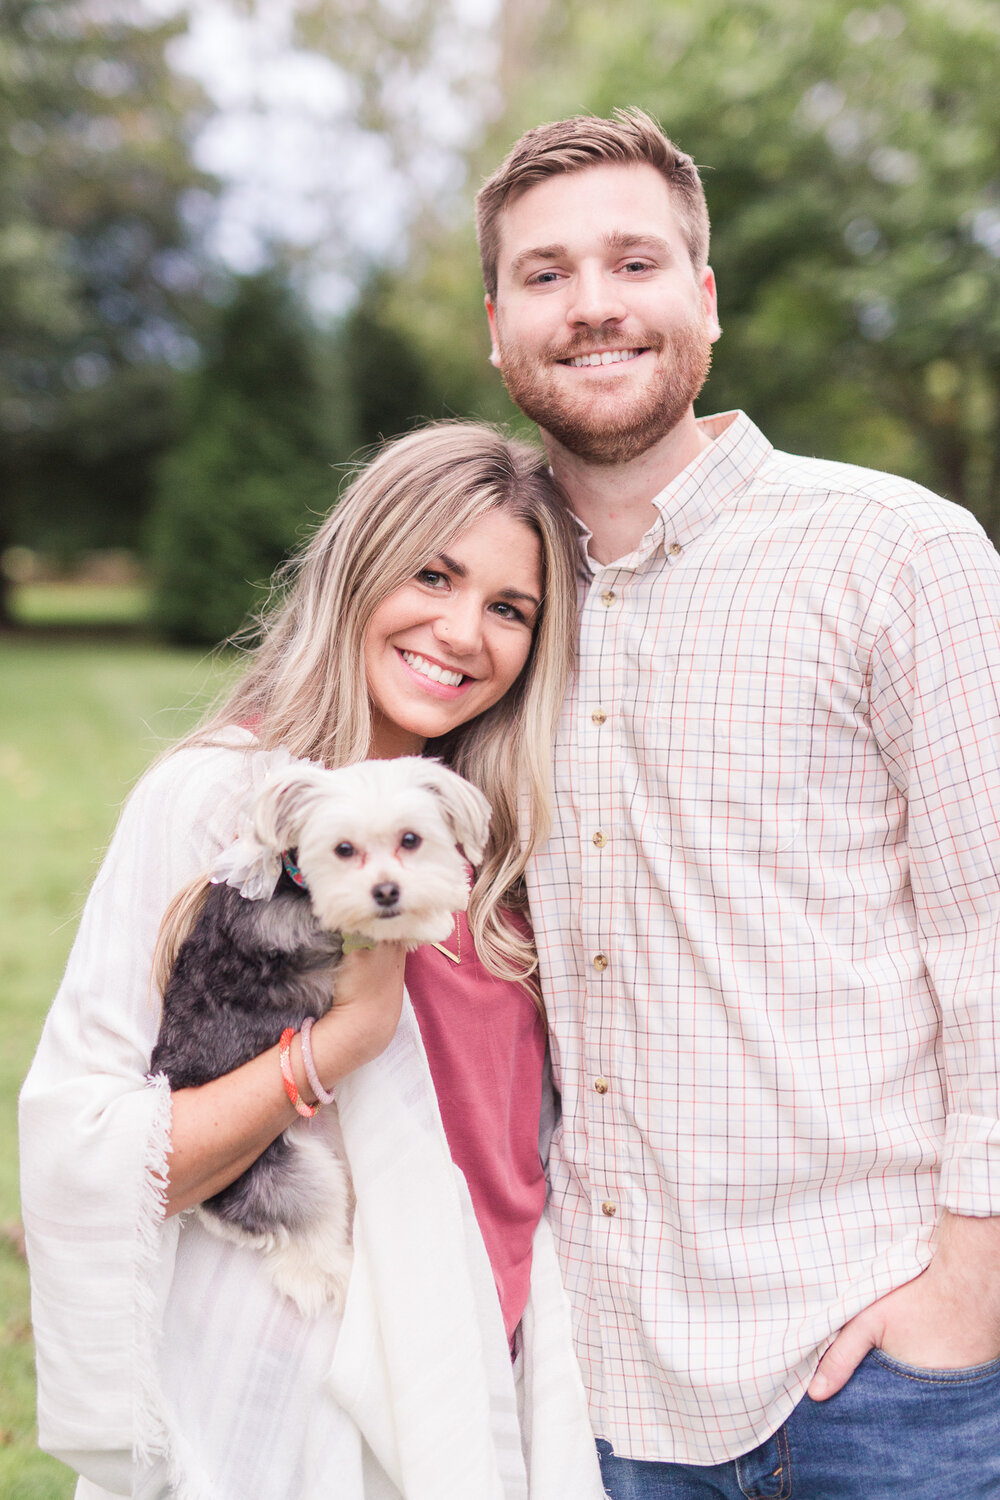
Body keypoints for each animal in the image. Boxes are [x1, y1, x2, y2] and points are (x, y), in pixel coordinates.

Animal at [150, 762, 491, 1314]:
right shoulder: (305, 926)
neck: (292, 880)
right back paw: (331, 1275)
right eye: (342, 849)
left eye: (411, 839)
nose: (387, 892)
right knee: (304, 1237)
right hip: (291, 1177)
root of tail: (206, 1203)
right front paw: (430, 917)